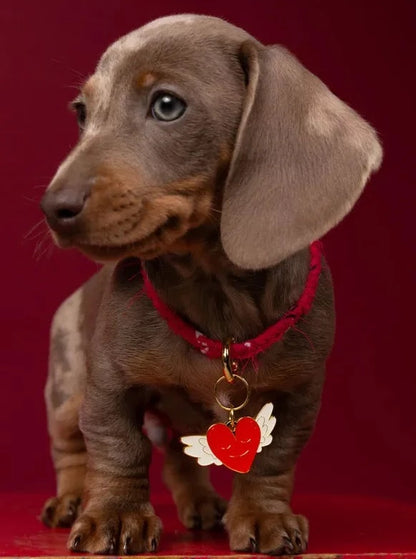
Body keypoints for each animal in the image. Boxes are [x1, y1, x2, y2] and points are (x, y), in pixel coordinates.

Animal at [40, 13, 382, 556]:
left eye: (167, 105)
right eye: (81, 112)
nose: (54, 208)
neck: (217, 296)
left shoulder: (300, 395)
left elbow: (272, 461)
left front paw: (264, 515)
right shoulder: (109, 385)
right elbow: (118, 447)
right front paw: (115, 515)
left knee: (182, 458)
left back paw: (201, 505)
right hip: (67, 386)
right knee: (70, 446)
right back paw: (72, 498)